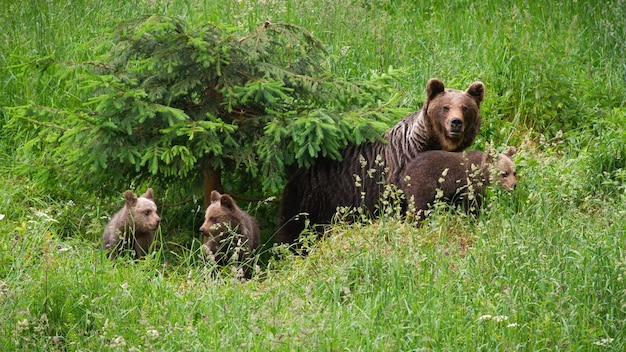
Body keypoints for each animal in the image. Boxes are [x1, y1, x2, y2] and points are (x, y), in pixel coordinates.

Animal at [276, 78, 486, 243]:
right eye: (445, 107)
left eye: (465, 108)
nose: (456, 123)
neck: (433, 145)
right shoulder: (400, 173)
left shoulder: (452, 170)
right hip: (314, 197)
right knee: (294, 229)